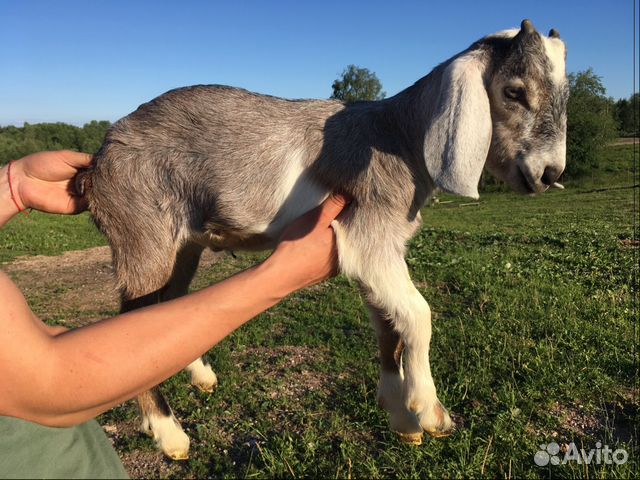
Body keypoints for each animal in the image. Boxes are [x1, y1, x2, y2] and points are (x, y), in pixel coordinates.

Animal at [81, 20, 568, 460]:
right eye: (513, 91)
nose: (549, 174)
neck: (399, 137)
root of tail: (97, 163)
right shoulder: (369, 238)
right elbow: (418, 314)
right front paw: (429, 412)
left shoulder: (381, 251)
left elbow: (387, 328)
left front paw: (401, 419)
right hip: (143, 238)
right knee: (134, 326)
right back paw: (171, 436)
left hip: (183, 248)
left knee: (169, 308)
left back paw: (200, 378)